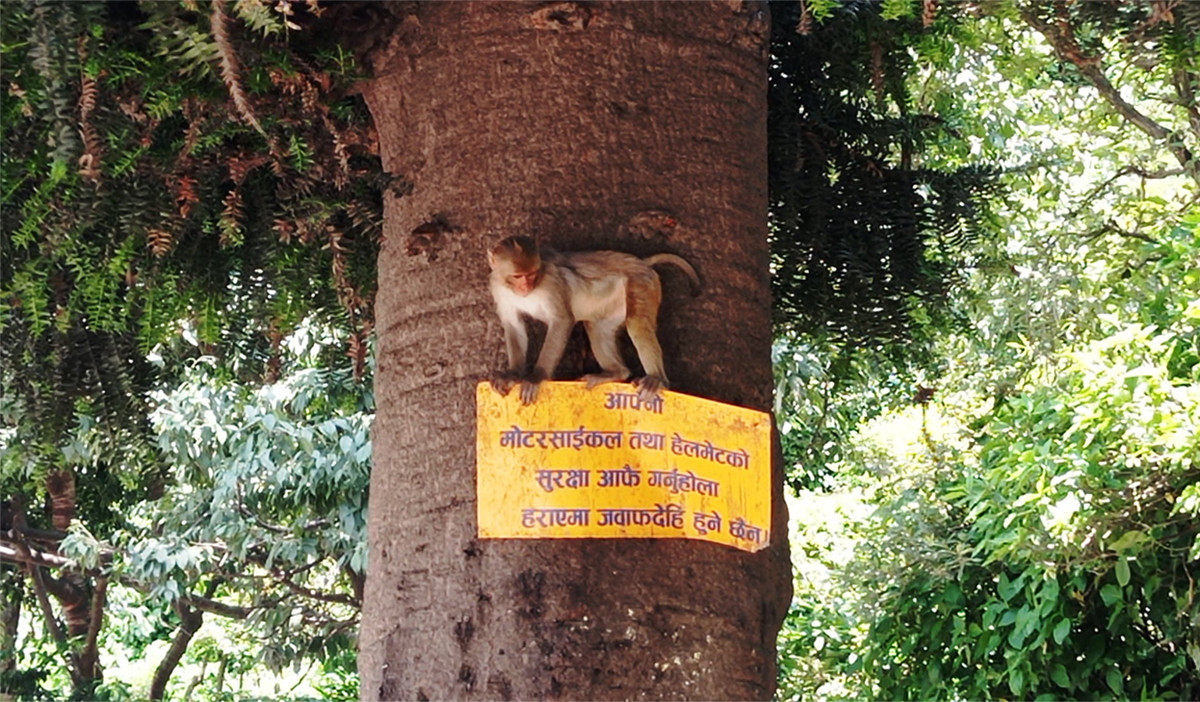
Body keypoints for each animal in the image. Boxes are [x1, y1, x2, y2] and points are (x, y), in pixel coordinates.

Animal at [484, 234, 700, 403]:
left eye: (532, 274)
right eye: (518, 277)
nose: (526, 287)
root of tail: (641, 262)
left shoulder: (550, 282)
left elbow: (562, 320)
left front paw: (537, 377)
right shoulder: (498, 287)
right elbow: (513, 325)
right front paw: (513, 374)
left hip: (641, 283)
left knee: (636, 323)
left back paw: (656, 380)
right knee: (596, 327)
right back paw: (615, 373)